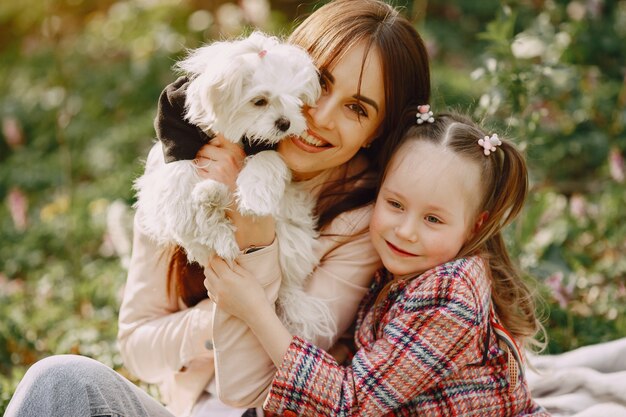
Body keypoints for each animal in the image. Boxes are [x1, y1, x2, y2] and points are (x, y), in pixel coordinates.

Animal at [135, 30, 334, 342]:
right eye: (260, 101)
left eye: (296, 100)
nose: (285, 124)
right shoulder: (174, 125)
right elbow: (179, 169)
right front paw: (184, 206)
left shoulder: (267, 146)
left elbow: (264, 162)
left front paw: (253, 199)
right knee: (202, 238)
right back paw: (212, 209)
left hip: (290, 239)